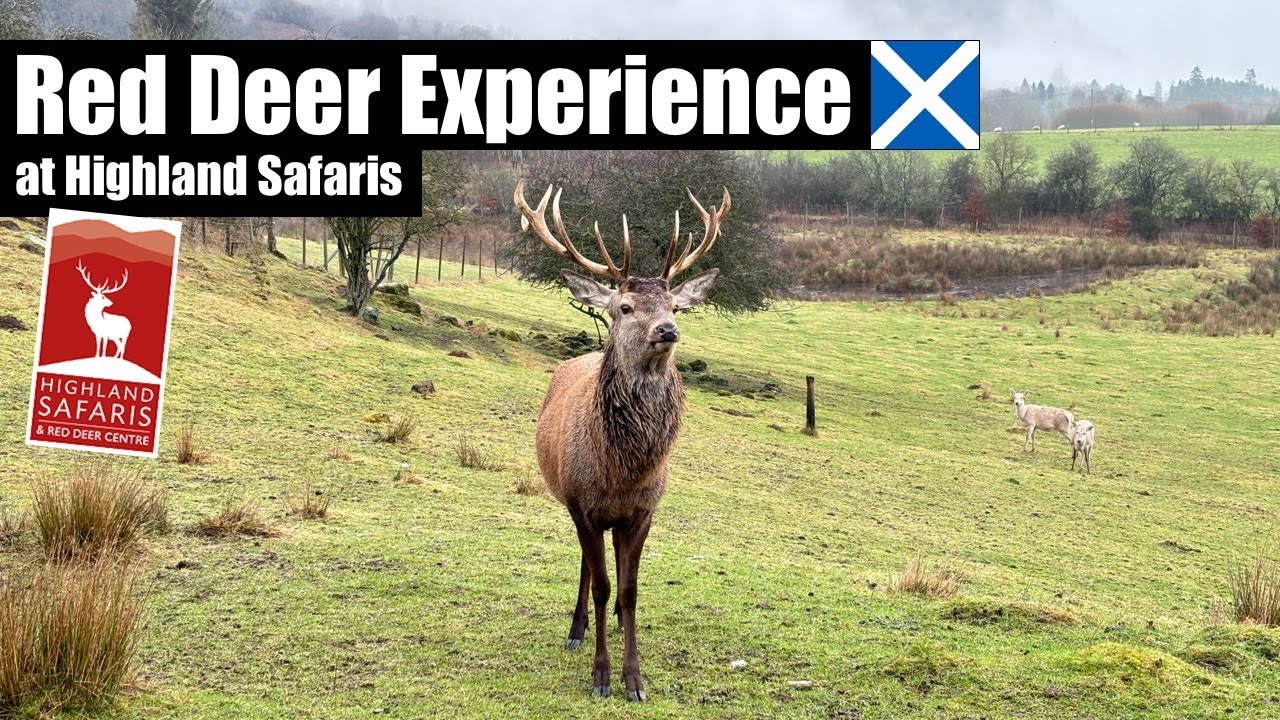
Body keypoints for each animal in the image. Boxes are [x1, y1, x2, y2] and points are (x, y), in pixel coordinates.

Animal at [513, 179, 728, 702]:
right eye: (624, 307)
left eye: (674, 305)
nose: (668, 330)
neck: (622, 470)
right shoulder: (583, 504)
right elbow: (603, 584)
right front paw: (601, 678)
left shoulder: (644, 510)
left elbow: (630, 590)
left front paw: (635, 680)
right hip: (571, 501)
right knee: (587, 569)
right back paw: (576, 629)